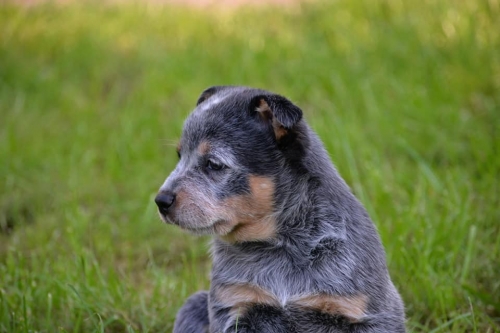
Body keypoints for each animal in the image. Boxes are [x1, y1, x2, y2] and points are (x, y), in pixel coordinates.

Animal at [155, 86, 406, 332]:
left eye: (214, 164)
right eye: (180, 155)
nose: (161, 200)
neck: (279, 246)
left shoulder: (369, 312)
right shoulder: (235, 305)